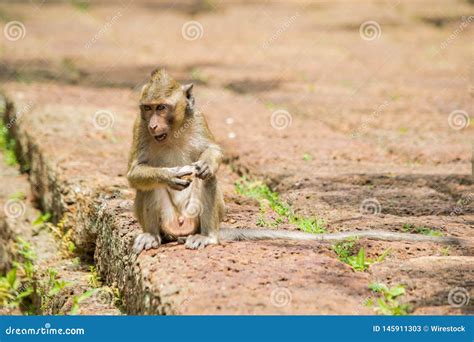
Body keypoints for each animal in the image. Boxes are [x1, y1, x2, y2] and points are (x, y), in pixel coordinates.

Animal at [126, 68, 470, 254]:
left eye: (162, 107)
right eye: (147, 108)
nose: (154, 125)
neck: (172, 132)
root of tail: (183, 230)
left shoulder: (197, 119)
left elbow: (212, 153)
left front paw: (207, 163)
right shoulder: (138, 127)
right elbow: (134, 173)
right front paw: (171, 174)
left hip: (197, 221)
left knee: (208, 183)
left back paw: (207, 237)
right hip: (171, 225)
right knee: (146, 188)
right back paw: (152, 235)